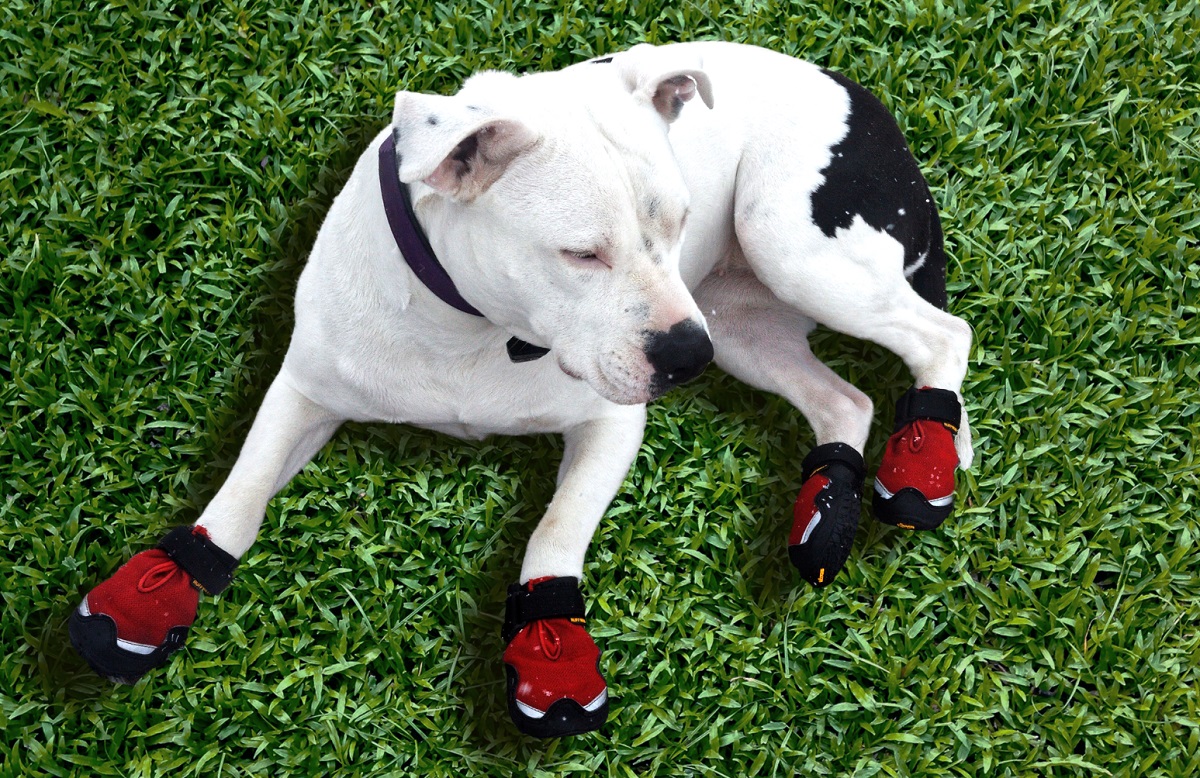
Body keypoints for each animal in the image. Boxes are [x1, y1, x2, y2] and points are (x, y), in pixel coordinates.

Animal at [70, 41, 974, 734]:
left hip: (784, 252)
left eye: (678, 221)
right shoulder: (305, 388)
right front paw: (160, 584)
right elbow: (242, 490)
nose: (685, 356)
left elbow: (556, 529)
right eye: (582, 253)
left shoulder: (611, 424)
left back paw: (928, 456)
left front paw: (552, 646)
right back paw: (829, 512)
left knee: (943, 335)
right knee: (847, 399)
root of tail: (855, 87)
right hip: (742, 323)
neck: (469, 324)